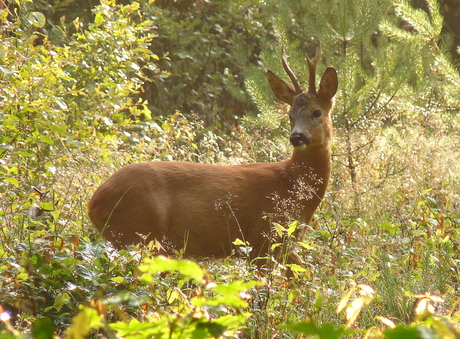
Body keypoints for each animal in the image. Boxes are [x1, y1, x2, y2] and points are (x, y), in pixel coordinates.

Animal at [88, 43, 338, 270]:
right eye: (290, 115)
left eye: (317, 112)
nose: (297, 137)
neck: (291, 184)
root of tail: (94, 202)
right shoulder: (264, 236)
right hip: (139, 232)